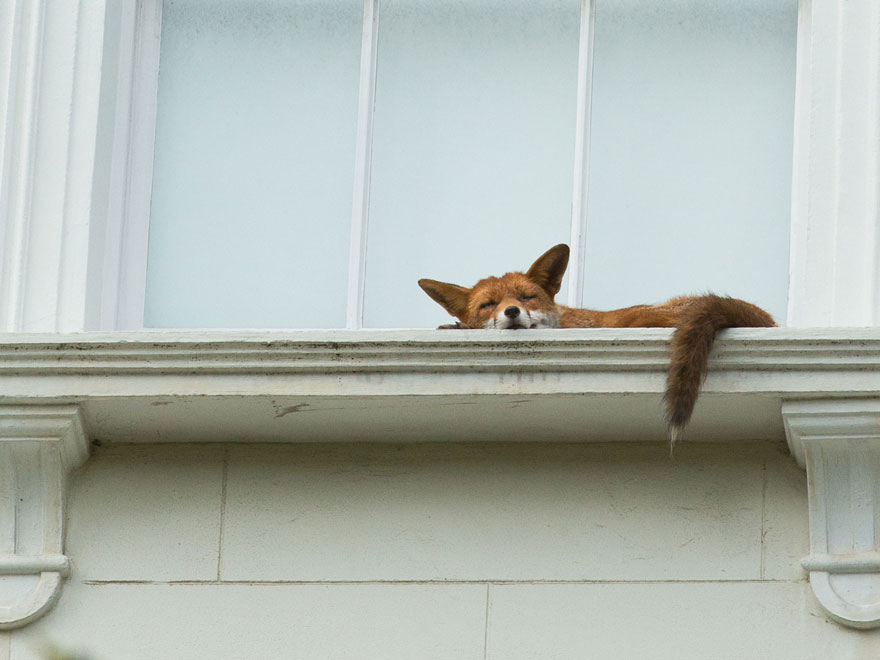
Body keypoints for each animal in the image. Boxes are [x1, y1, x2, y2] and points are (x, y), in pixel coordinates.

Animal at [418, 243, 776, 450]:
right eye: (488, 305)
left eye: (526, 297)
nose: (512, 312)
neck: (565, 321)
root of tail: (764, 317)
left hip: (639, 318)